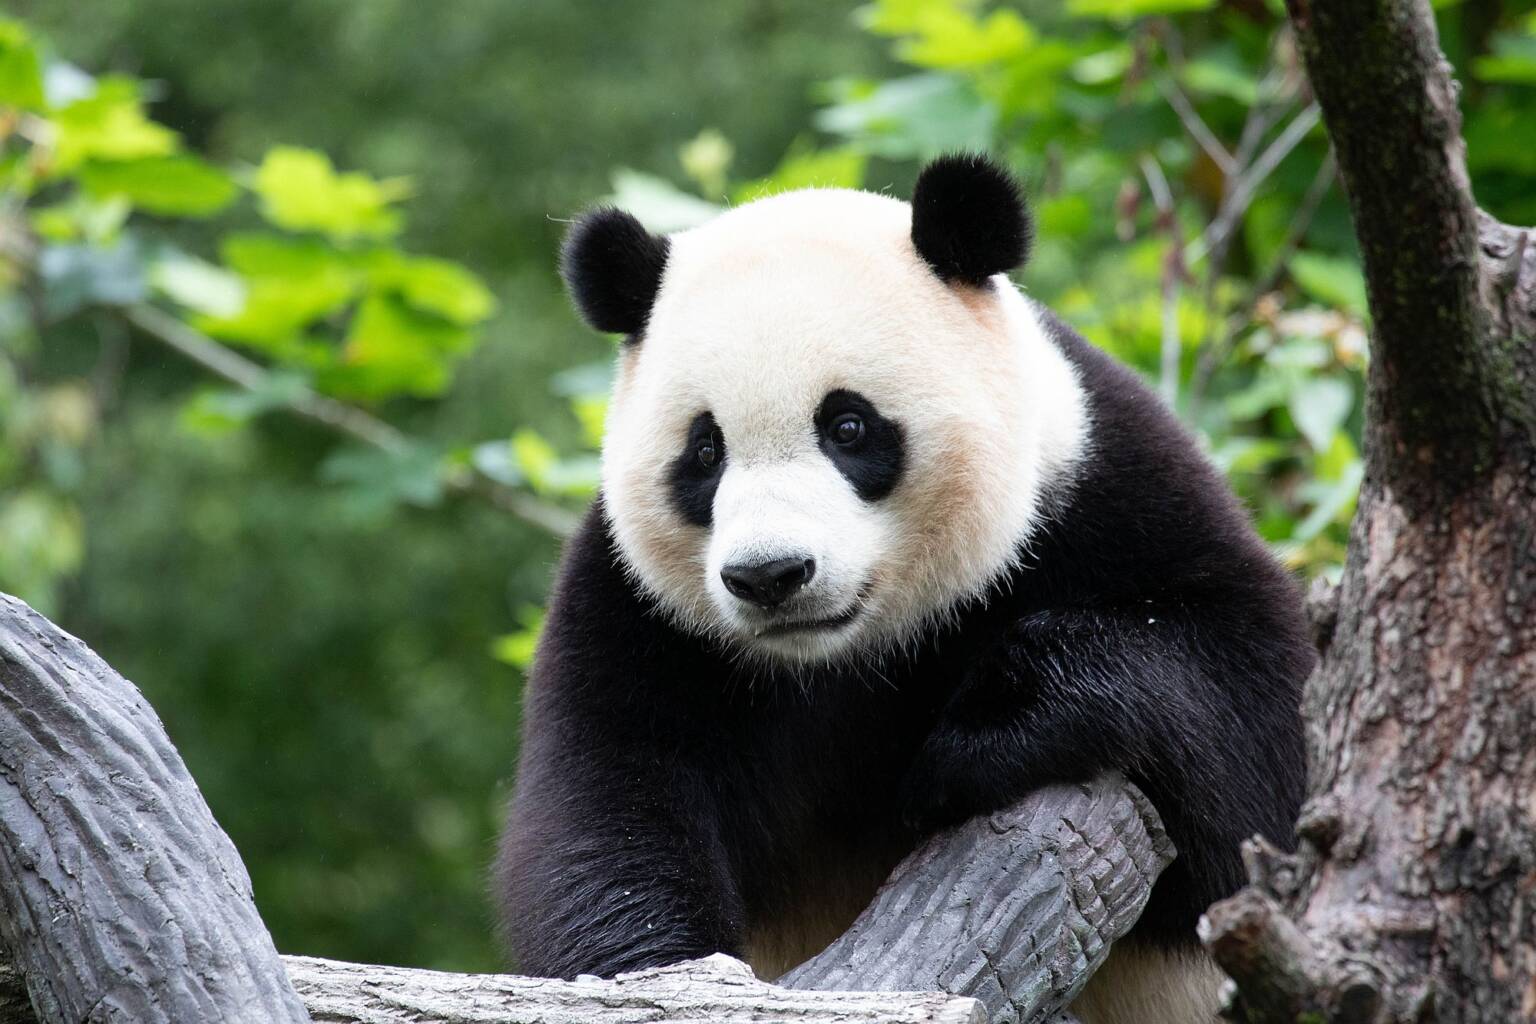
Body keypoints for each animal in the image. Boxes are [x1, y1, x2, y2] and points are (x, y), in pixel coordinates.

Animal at [495, 153, 1312, 1023]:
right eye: (705, 451)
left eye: (848, 426)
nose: (769, 576)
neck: (847, 656)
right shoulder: (637, 609)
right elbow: (604, 801)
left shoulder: (1106, 486)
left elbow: (1259, 729)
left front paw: (975, 743)